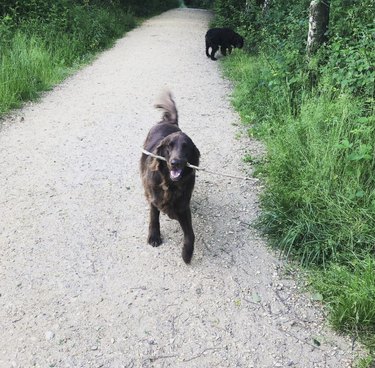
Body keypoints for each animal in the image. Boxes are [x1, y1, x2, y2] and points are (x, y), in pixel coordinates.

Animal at [140, 92, 200, 264]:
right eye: (169, 146)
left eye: (186, 147)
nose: (175, 163)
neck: (170, 184)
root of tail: (169, 122)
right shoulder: (155, 197)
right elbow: (154, 217)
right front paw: (154, 237)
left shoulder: (183, 205)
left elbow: (190, 234)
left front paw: (187, 253)